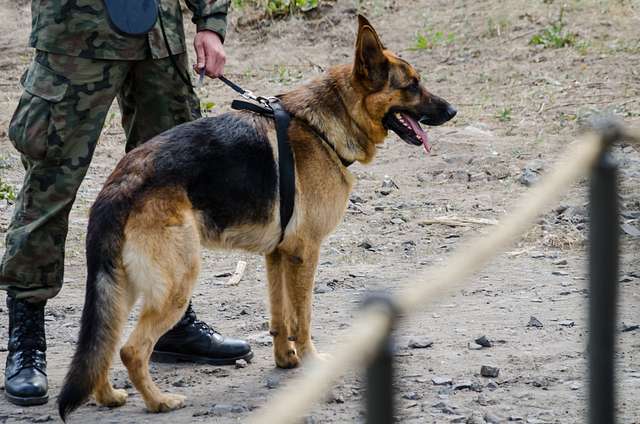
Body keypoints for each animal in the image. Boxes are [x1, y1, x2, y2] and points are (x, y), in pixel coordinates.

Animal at [56, 14, 456, 420]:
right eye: (412, 85)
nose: (452, 111)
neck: (324, 125)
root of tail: (120, 183)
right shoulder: (305, 253)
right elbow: (303, 317)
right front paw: (311, 362)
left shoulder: (278, 254)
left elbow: (280, 317)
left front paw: (286, 360)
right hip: (177, 282)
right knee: (130, 349)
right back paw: (159, 401)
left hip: (122, 289)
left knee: (105, 342)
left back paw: (108, 396)